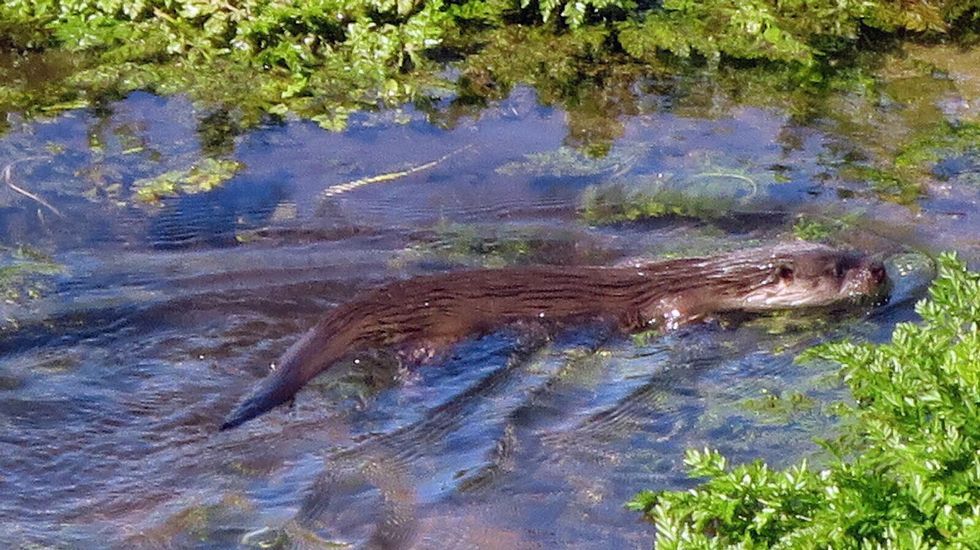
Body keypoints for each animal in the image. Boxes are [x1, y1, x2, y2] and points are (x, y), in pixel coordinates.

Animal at [220, 245, 888, 432]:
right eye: (837, 268)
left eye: (851, 248)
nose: (881, 269)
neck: (709, 275)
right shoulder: (672, 306)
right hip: (445, 327)